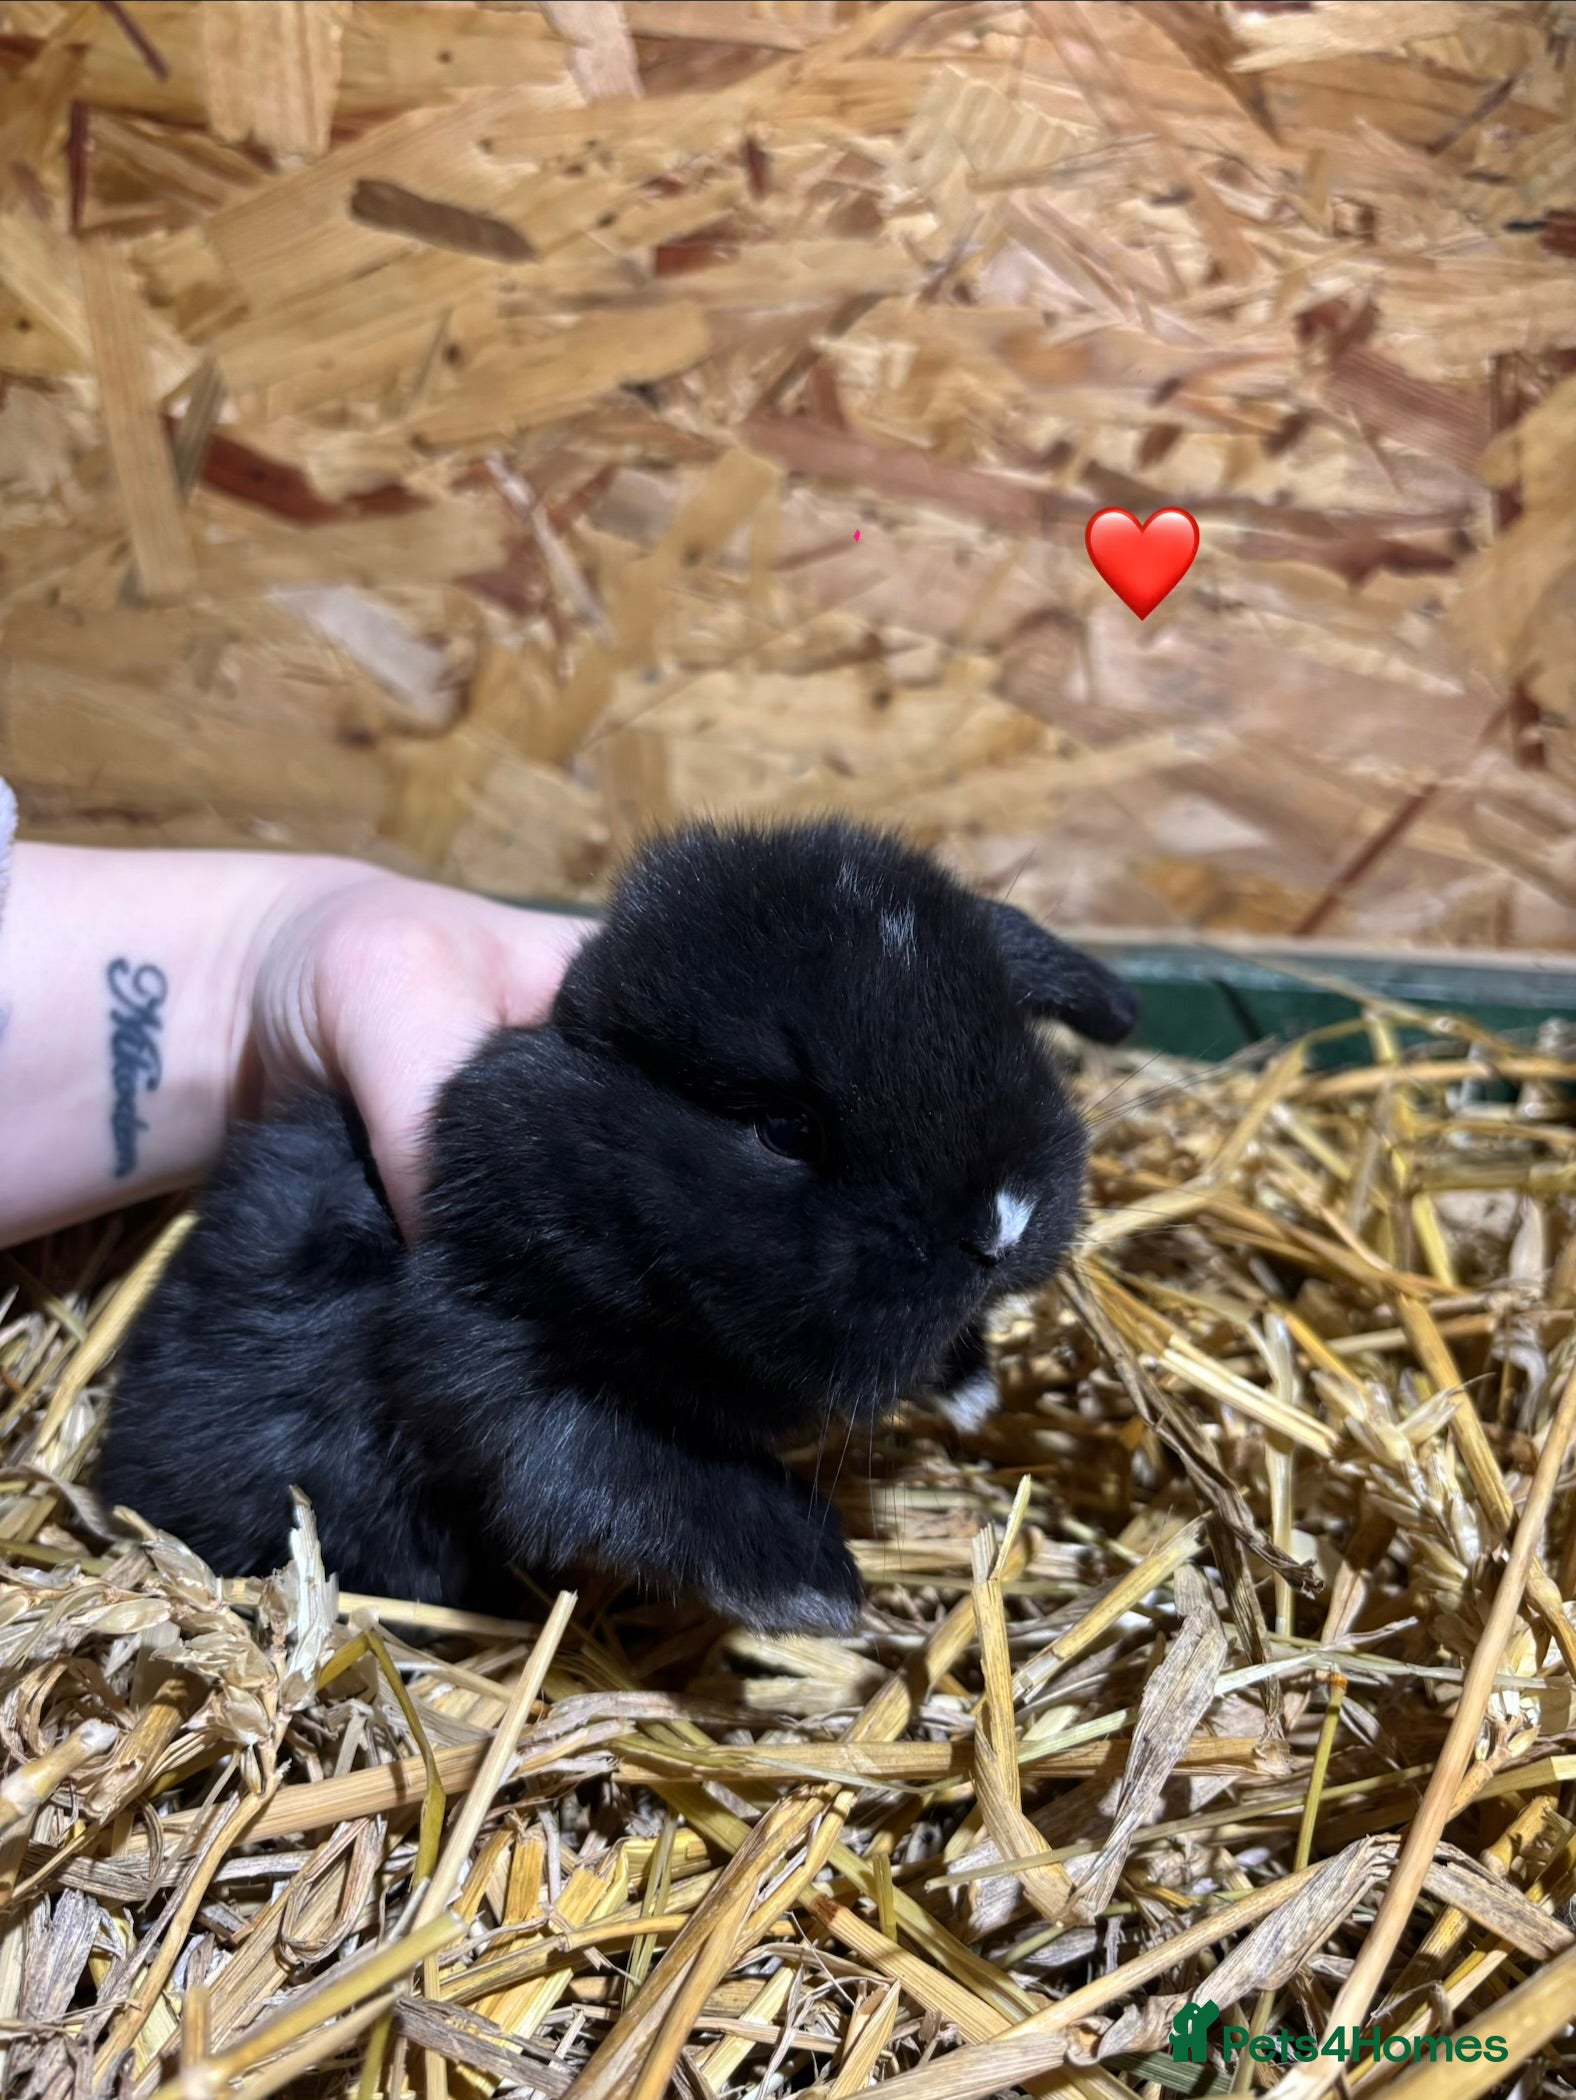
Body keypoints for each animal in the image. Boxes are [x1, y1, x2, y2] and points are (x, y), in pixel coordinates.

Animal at [99, 818, 1137, 1634]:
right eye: (787, 1129)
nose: (1002, 1226)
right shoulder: (493, 1365)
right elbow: (640, 1477)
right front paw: (815, 1589)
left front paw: (967, 1385)